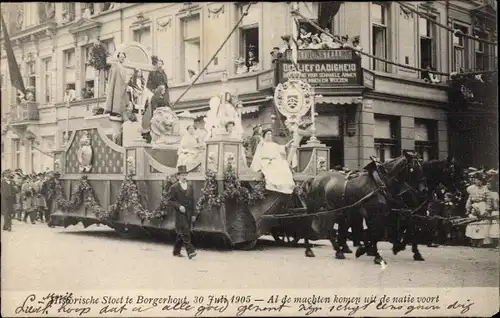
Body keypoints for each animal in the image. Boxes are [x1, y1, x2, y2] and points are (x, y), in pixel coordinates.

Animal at [298, 150, 428, 264]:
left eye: (421, 167)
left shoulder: (383, 215)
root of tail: (314, 178)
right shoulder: (371, 214)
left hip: (333, 211)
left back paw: (338, 251)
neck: (379, 183)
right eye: (413, 168)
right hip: (315, 208)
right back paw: (309, 250)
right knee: (308, 225)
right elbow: (374, 233)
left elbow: (377, 234)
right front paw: (375, 255)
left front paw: (364, 250)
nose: (424, 189)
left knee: (330, 230)